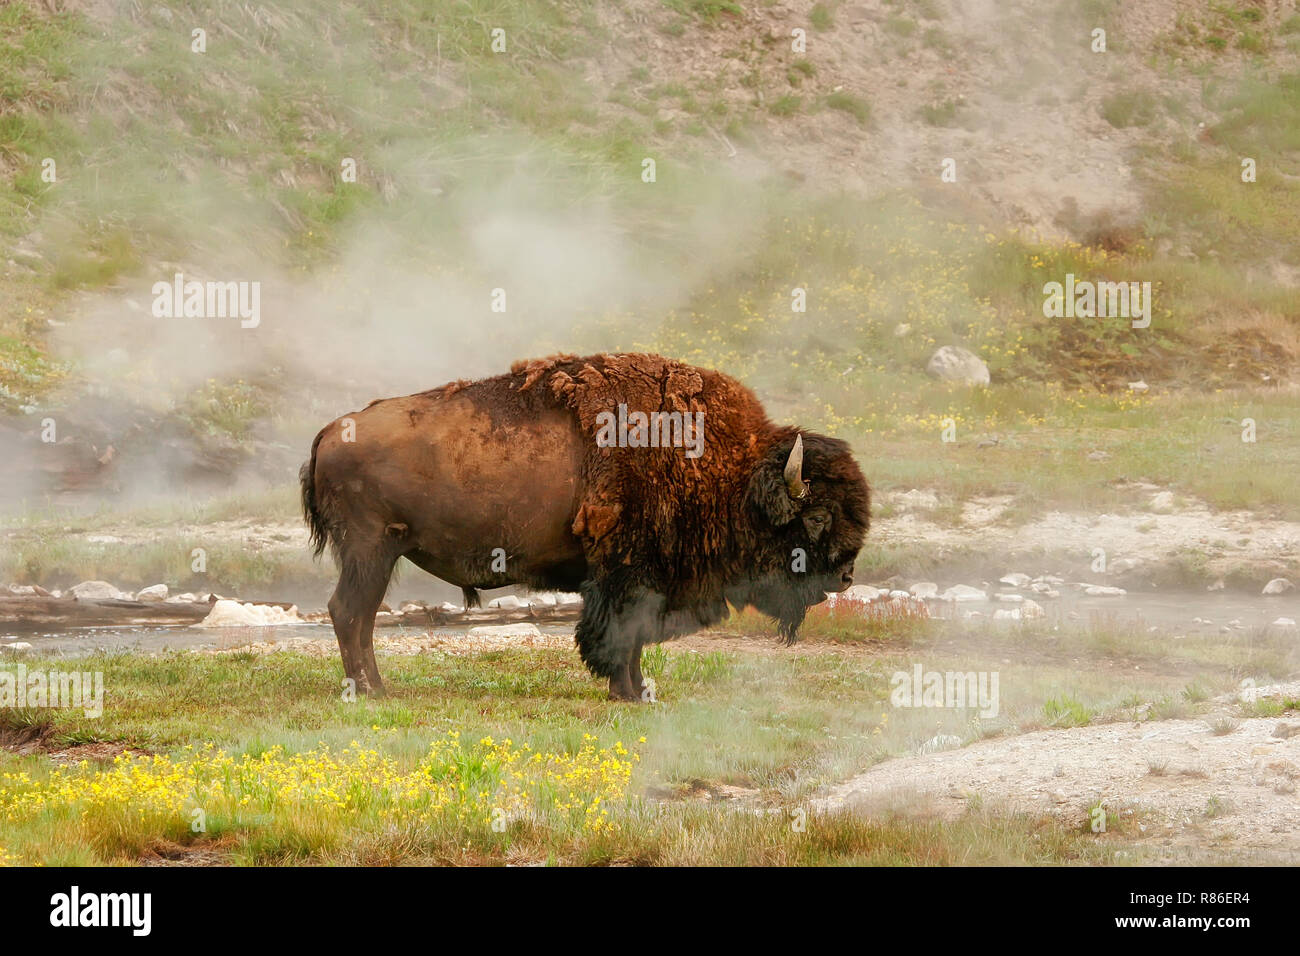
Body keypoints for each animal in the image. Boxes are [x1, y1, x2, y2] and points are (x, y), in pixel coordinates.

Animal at [301, 356, 873, 697]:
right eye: (816, 517)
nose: (846, 577)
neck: (730, 470)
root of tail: (330, 429)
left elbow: (634, 639)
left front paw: (638, 691)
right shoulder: (628, 576)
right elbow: (621, 636)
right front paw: (629, 692)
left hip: (379, 555)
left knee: (358, 617)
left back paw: (376, 689)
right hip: (371, 551)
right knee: (350, 613)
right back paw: (371, 692)